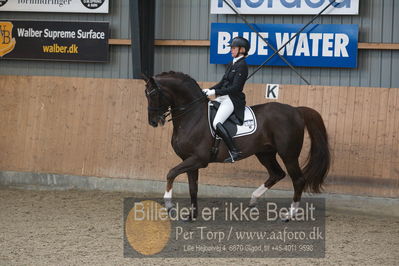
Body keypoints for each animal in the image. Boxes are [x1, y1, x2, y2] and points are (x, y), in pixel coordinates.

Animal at [145, 70, 332, 220]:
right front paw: (192, 215)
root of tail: (296, 110)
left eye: (153, 94)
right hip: (265, 153)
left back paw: (289, 214)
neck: (192, 116)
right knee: (276, 174)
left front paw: (169, 205)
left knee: (298, 180)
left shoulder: (198, 159)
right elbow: (193, 188)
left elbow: (171, 173)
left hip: (289, 154)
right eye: (146, 94)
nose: (153, 122)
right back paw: (253, 199)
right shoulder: (190, 160)